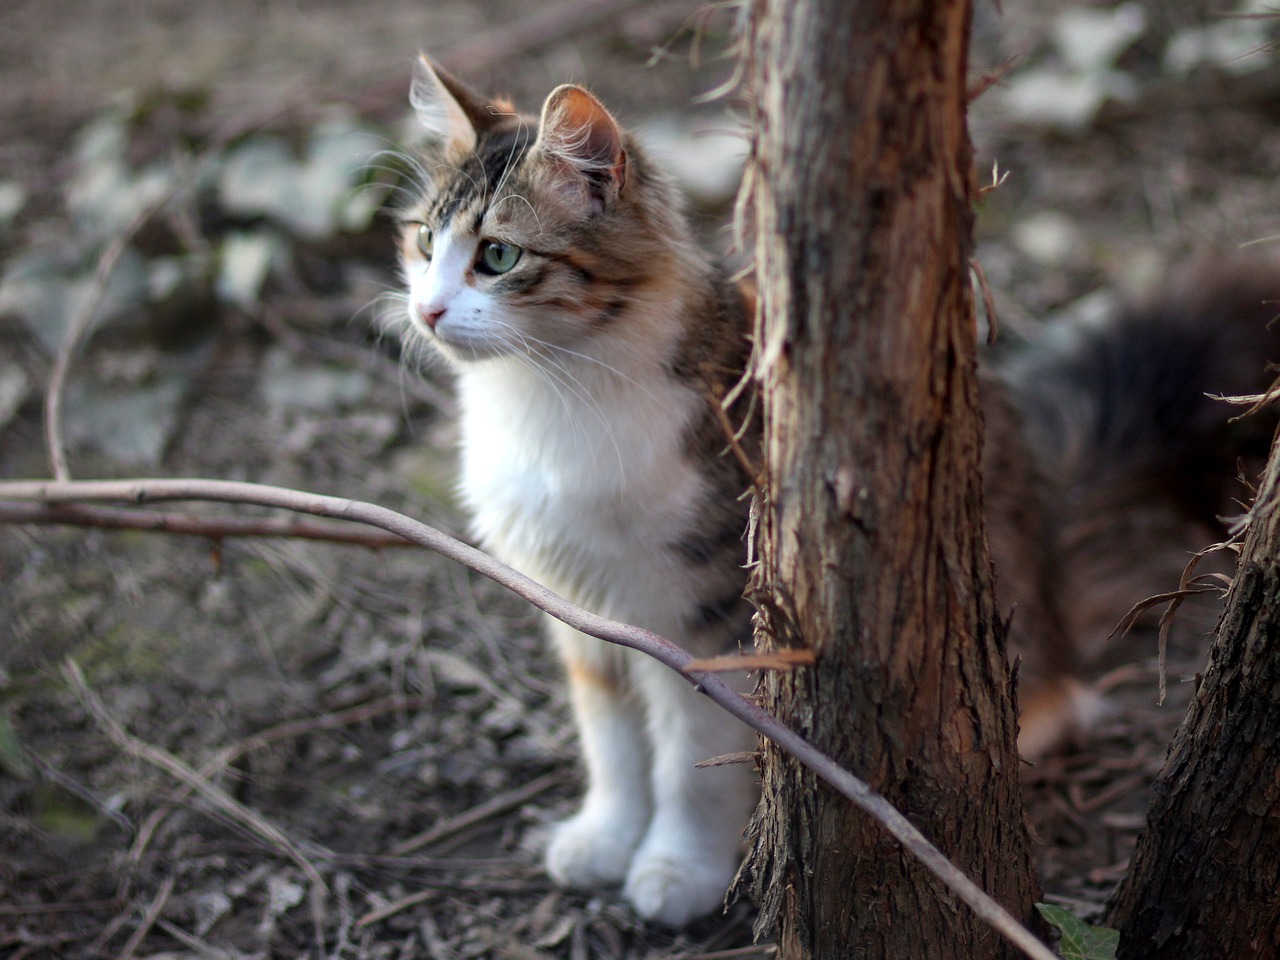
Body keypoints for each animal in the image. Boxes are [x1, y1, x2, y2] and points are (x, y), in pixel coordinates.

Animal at [391, 58, 1280, 926]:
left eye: (497, 257)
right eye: (425, 241)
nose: (426, 310)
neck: (542, 398)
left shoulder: (708, 614)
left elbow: (688, 762)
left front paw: (678, 868)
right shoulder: (579, 611)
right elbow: (611, 746)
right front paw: (607, 837)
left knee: (1058, 702)